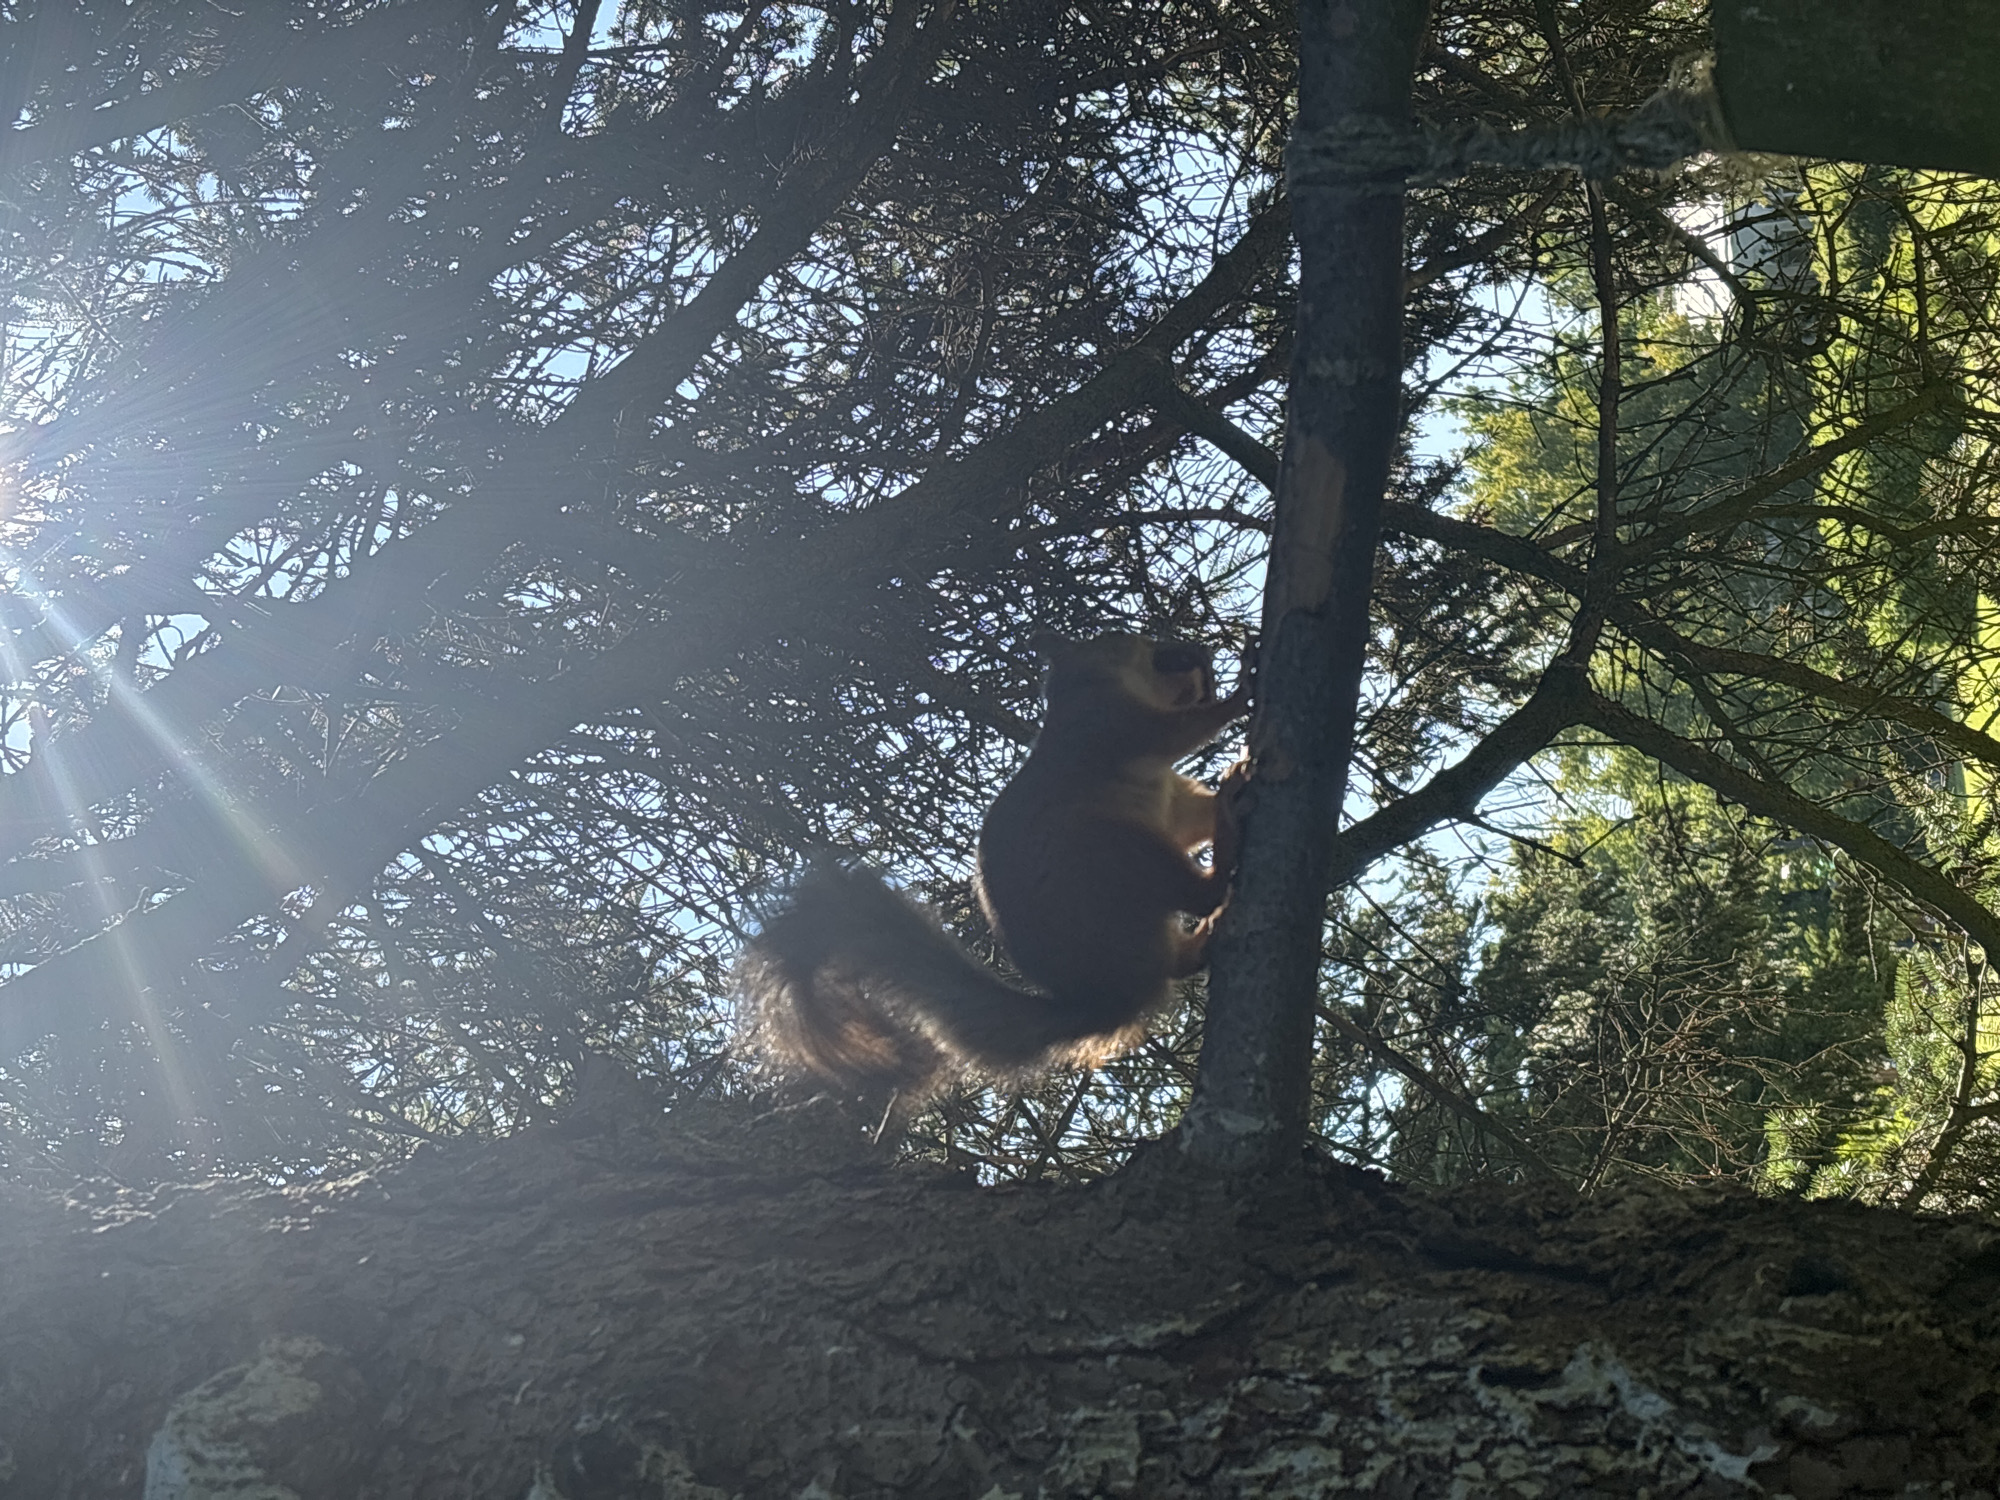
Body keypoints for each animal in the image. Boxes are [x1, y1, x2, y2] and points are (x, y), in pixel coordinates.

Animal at [736, 631, 1251, 1094]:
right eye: (1136, 640)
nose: (1202, 656)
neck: (1091, 686)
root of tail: (1108, 999)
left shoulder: (1173, 799)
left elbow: (1191, 817)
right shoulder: (1108, 725)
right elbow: (1177, 731)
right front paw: (1243, 687)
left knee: (1182, 955)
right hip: (1113, 854)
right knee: (1197, 894)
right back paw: (1226, 839)